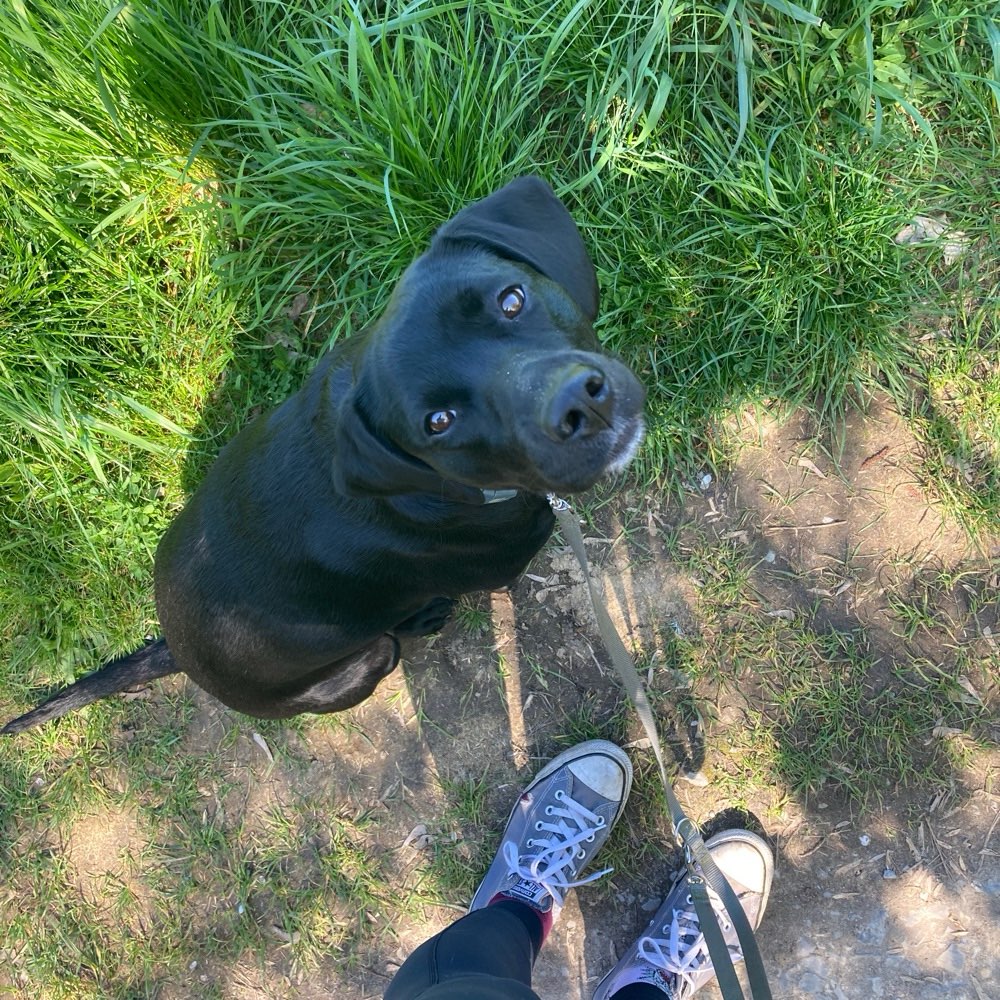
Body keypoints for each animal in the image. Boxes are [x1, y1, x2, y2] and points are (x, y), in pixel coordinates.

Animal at [3, 176, 644, 736]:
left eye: (511, 300)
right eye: (438, 422)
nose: (577, 407)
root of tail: (176, 652)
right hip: (366, 660)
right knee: (386, 640)